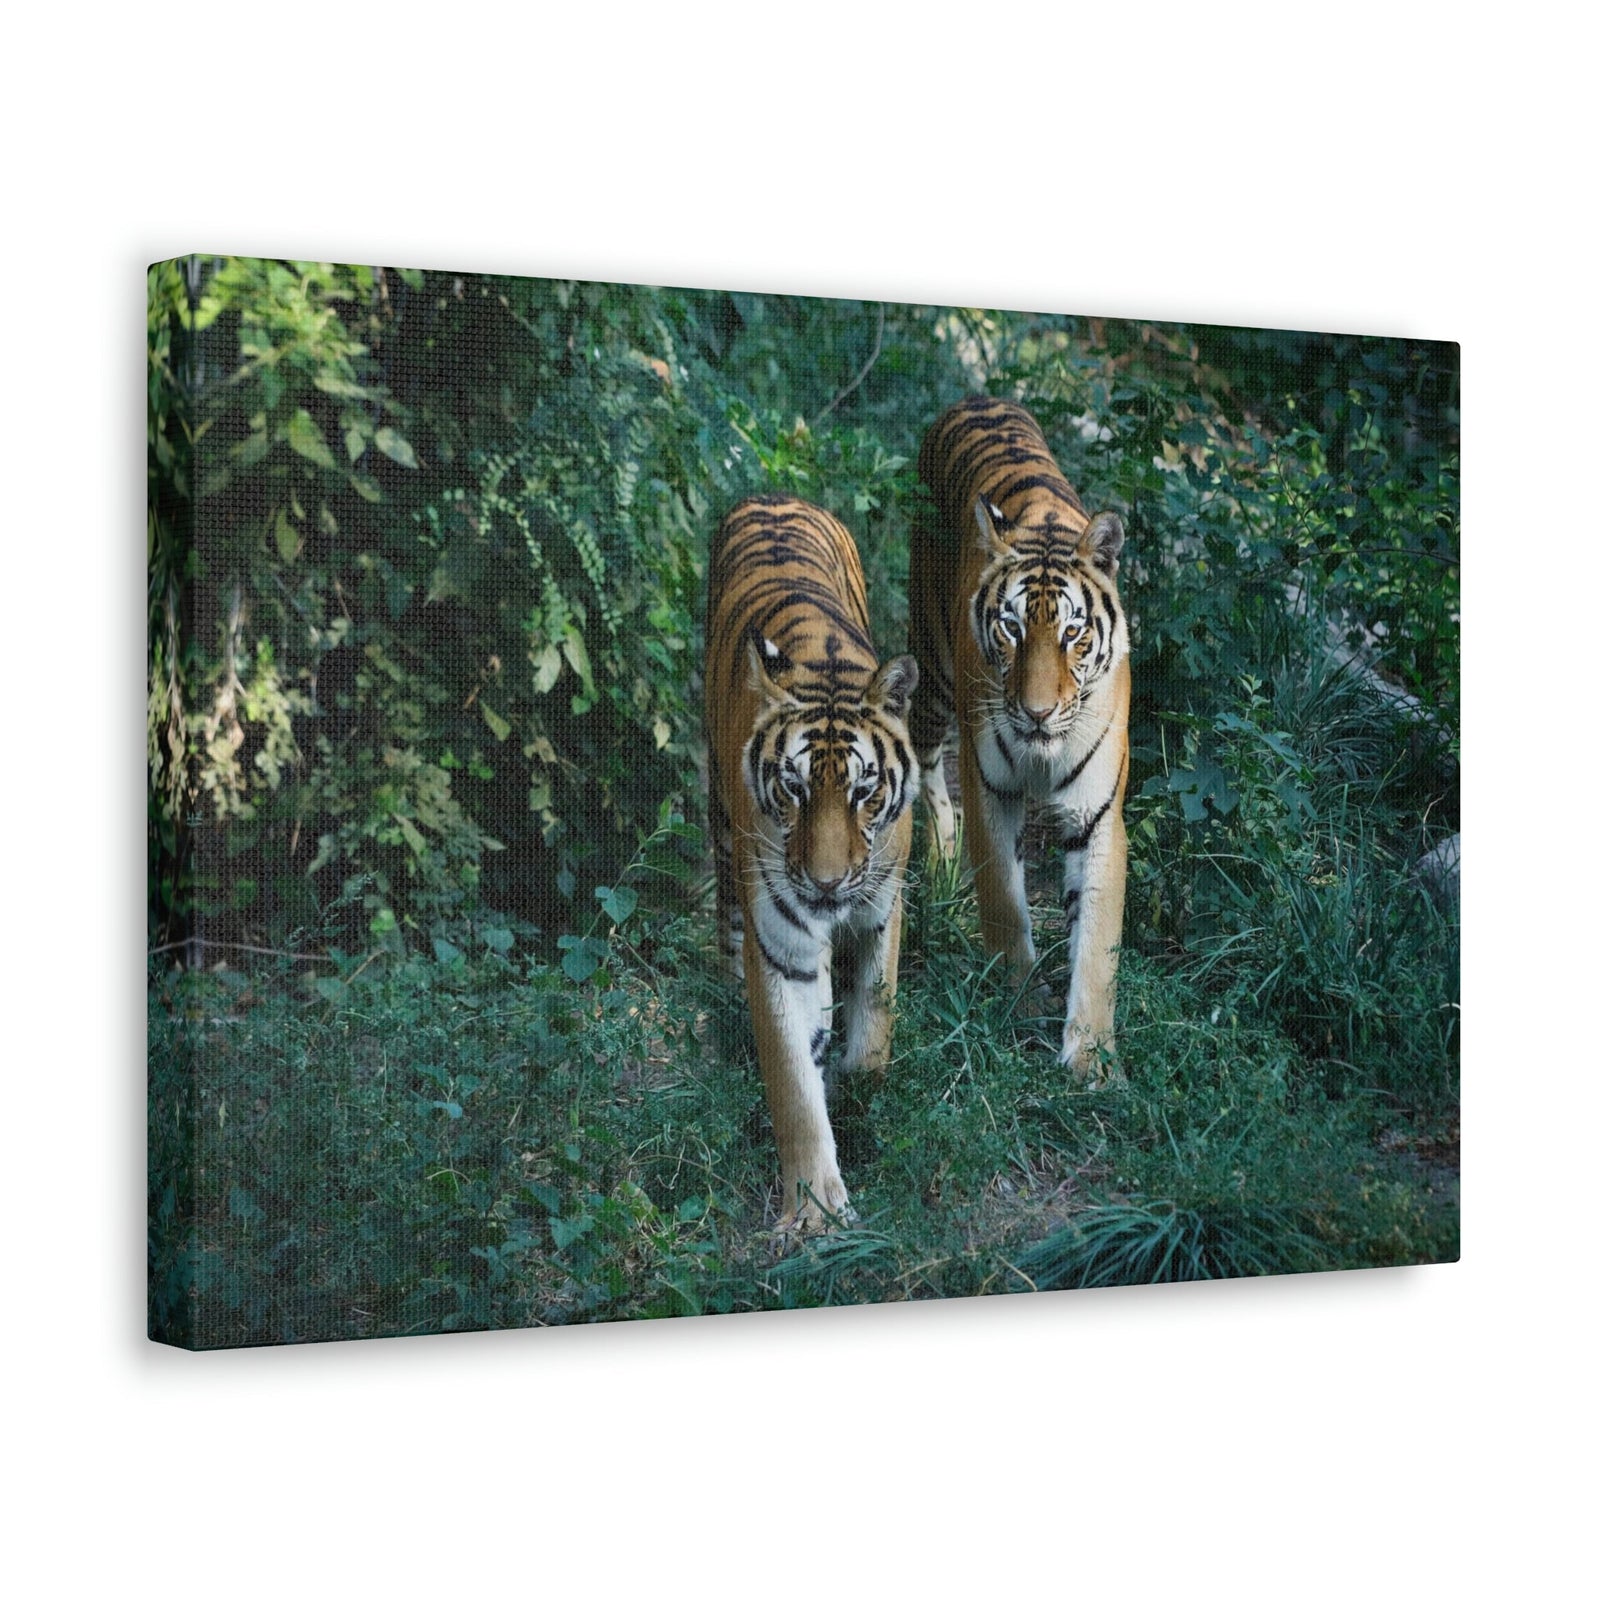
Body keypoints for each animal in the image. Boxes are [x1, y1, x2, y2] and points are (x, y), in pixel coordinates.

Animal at [705, 494, 920, 1232]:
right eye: (794, 788)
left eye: (863, 791)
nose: (825, 884)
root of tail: (774, 496)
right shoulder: (781, 942)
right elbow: (794, 1084)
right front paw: (814, 1212)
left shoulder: (884, 904)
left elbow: (875, 1026)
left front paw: (860, 1093)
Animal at [908, 396, 1130, 1076]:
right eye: (1010, 629)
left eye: (1072, 634)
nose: (1035, 713)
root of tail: (977, 398)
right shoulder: (991, 790)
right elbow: (1005, 904)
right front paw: (1022, 1003)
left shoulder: (1098, 814)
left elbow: (1097, 942)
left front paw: (1090, 1056)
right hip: (934, 675)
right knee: (927, 763)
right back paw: (941, 856)